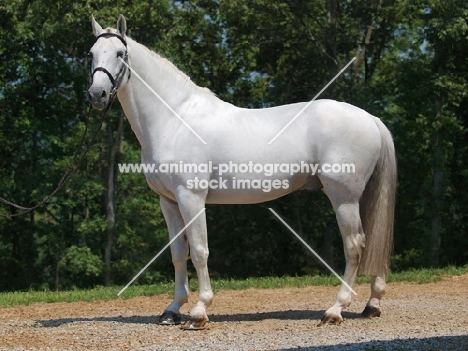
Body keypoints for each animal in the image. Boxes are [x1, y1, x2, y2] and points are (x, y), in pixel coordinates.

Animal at [87, 15, 394, 330]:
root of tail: (370, 118)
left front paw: (199, 311)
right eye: (91, 54)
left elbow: (199, 251)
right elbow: (178, 254)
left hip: (343, 197)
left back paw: (335, 309)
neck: (175, 118)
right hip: (362, 196)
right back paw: (372, 304)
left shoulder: (191, 198)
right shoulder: (168, 201)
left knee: (355, 245)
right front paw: (172, 310)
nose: (97, 95)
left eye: (120, 54)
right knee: (374, 241)